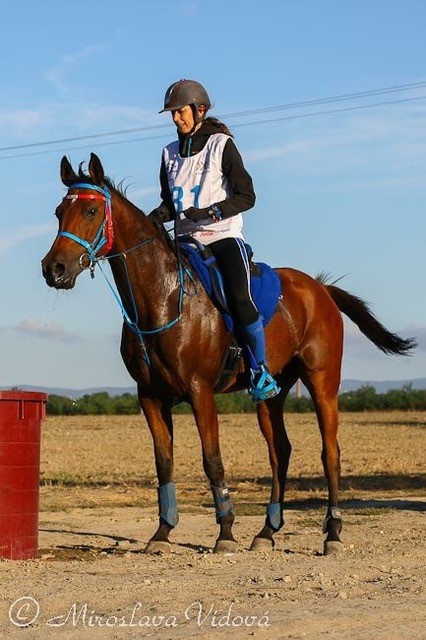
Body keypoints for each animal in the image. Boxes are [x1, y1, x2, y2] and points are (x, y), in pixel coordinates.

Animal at [42, 154, 416, 556]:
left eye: (92, 210)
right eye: (59, 212)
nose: (54, 269)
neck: (164, 298)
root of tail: (320, 288)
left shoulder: (200, 392)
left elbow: (213, 461)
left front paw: (225, 532)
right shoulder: (150, 396)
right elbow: (164, 462)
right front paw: (162, 532)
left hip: (322, 382)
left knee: (330, 452)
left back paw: (331, 533)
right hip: (271, 394)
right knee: (280, 451)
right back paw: (267, 531)